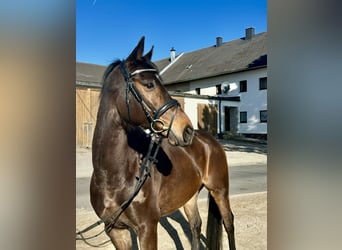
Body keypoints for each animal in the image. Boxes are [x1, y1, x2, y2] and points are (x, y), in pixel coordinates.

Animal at [90, 37, 235, 250]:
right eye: (149, 84)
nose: (187, 130)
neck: (113, 176)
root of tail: (210, 141)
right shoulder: (115, 231)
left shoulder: (147, 229)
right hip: (189, 195)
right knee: (195, 225)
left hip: (220, 190)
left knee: (228, 222)